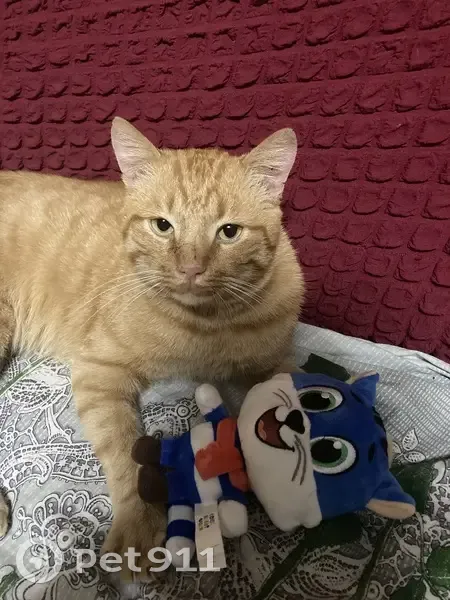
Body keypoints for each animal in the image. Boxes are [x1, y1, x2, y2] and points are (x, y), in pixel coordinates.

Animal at [0, 117, 304, 577]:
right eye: (163, 226)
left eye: (229, 232)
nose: (191, 268)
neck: (206, 325)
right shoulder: (99, 369)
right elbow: (126, 449)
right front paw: (138, 523)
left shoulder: (271, 359)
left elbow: (299, 382)